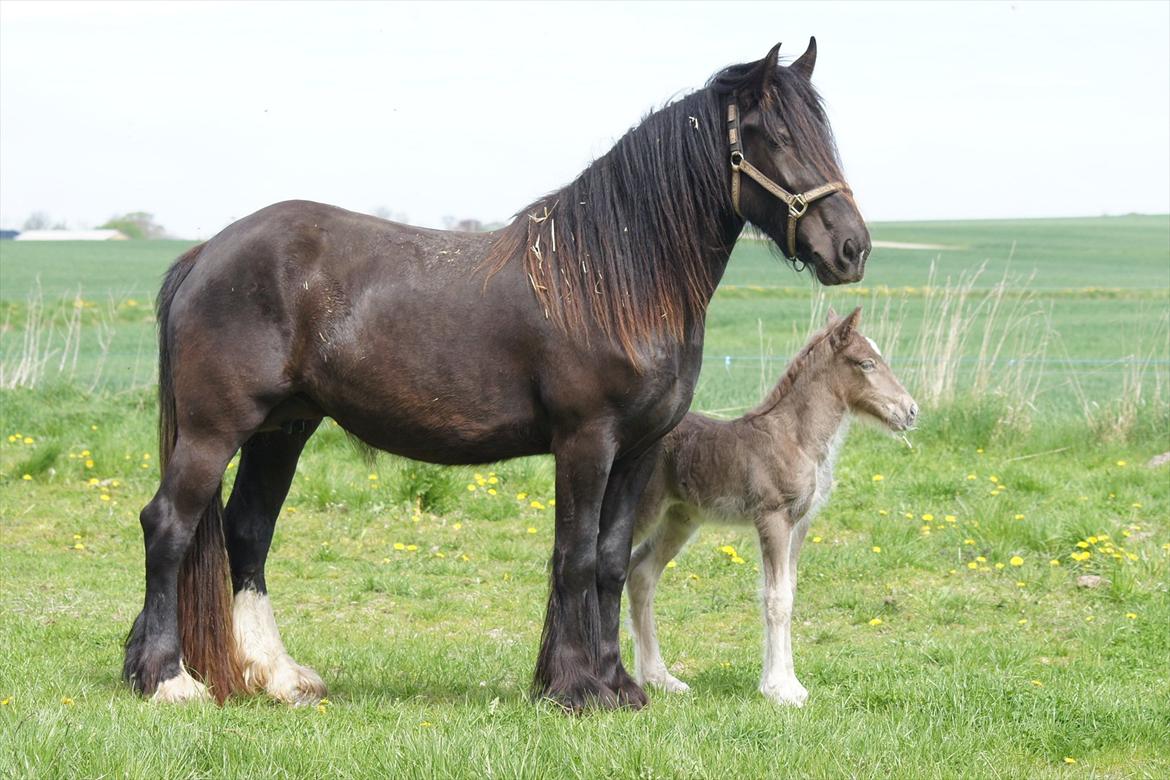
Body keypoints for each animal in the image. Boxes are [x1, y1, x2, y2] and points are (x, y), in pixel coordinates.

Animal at [125, 41, 870, 715]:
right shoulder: (585, 442)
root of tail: (207, 253)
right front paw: (576, 689)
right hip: (214, 430)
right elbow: (574, 557)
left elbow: (610, 562)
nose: (852, 248)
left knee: (248, 532)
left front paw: (618, 685)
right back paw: (168, 680)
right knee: (169, 526)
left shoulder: (638, 450)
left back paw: (277, 677)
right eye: (775, 136)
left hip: (283, 430)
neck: (609, 282)